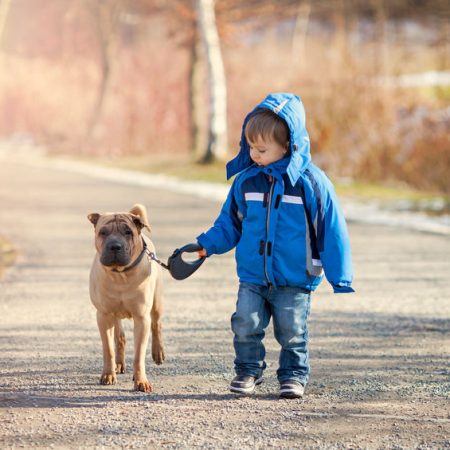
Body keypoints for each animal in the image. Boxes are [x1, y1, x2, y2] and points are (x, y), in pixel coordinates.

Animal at [87, 202, 164, 392]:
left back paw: (158, 352)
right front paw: (108, 375)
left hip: (157, 303)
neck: (120, 275)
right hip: (114, 315)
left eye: (128, 232)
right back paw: (119, 365)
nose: (115, 246)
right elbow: (108, 349)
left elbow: (138, 354)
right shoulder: (104, 316)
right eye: (103, 232)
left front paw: (141, 381)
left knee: (156, 324)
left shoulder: (141, 318)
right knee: (120, 337)